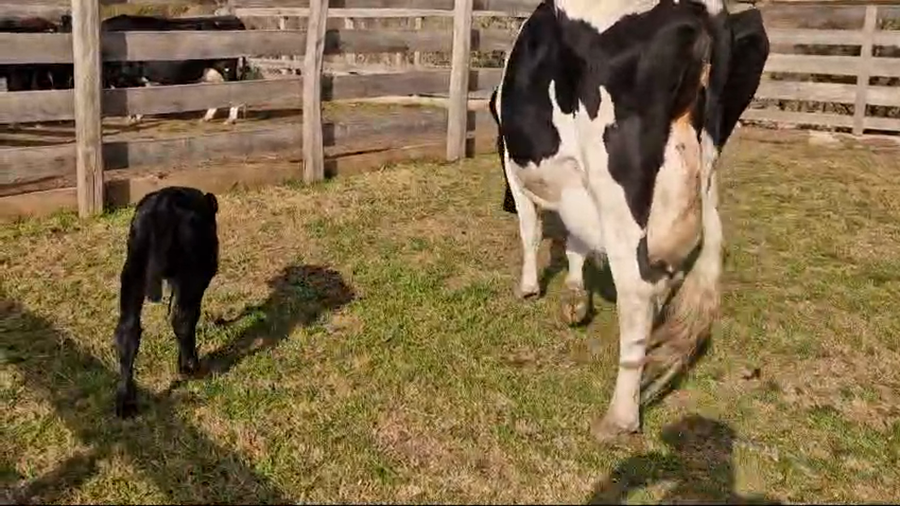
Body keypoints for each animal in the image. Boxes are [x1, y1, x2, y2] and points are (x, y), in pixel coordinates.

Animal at [96, 14, 249, 126]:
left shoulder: (127, 77)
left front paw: (133, 118)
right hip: (212, 72)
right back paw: (206, 118)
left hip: (226, 68)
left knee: (235, 88)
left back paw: (230, 120)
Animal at [113, 186, 220, 418]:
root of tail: (163, 206)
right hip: (193, 273)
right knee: (182, 319)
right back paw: (191, 367)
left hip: (133, 269)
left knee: (128, 329)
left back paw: (125, 401)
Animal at [490, 0, 769, 441]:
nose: (501, 203)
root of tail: (705, 11)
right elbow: (576, 243)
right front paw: (575, 297)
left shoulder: (516, 170)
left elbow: (530, 230)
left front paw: (529, 288)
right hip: (699, 173)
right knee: (667, 277)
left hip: (618, 184)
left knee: (637, 292)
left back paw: (620, 416)